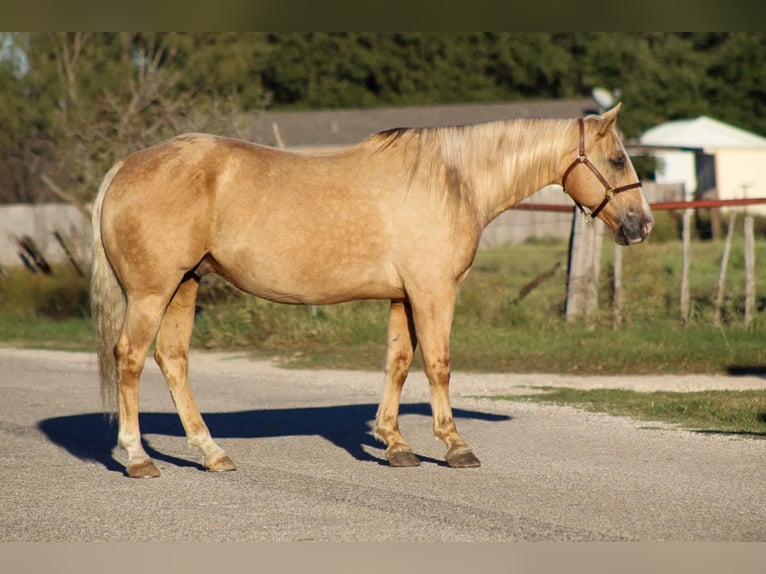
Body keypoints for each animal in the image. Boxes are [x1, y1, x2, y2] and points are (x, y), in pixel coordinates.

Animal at [90, 103, 653, 478]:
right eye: (618, 159)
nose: (641, 224)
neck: (450, 179)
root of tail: (124, 167)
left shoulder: (404, 295)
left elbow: (398, 362)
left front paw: (395, 445)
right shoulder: (433, 291)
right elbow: (439, 364)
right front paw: (455, 446)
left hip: (185, 285)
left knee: (173, 360)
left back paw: (213, 454)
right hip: (152, 292)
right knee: (130, 359)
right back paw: (138, 458)